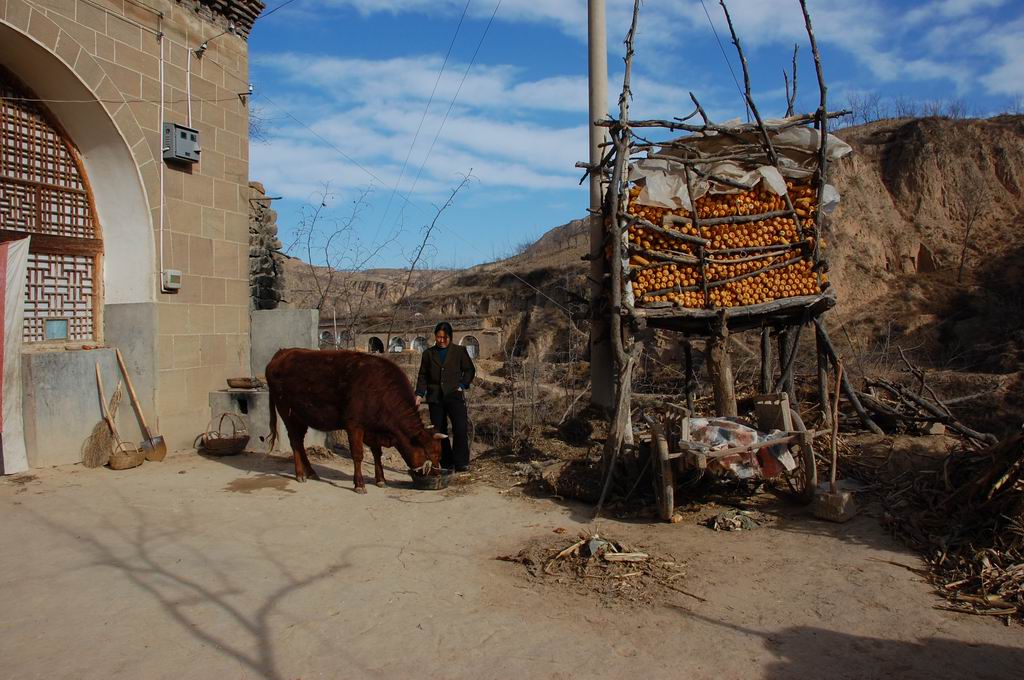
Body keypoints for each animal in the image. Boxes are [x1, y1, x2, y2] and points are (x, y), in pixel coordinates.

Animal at [264, 348, 444, 491]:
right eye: (431, 453)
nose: (436, 474)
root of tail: (283, 352)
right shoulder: (354, 425)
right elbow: (358, 455)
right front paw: (359, 484)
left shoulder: (372, 430)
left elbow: (377, 453)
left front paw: (381, 480)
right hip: (287, 413)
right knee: (295, 442)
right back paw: (300, 474)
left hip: (301, 417)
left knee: (300, 443)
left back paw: (311, 472)